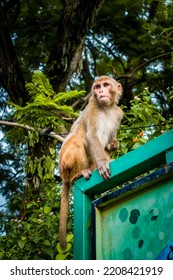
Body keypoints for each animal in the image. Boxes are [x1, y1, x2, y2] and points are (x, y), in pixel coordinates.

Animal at [58, 75, 123, 248]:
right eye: (97, 87)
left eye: (106, 85)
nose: (100, 92)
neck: (106, 109)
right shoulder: (93, 109)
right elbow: (92, 136)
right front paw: (103, 164)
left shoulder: (118, 114)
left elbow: (110, 141)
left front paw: (113, 144)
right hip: (64, 166)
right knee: (77, 140)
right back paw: (79, 174)